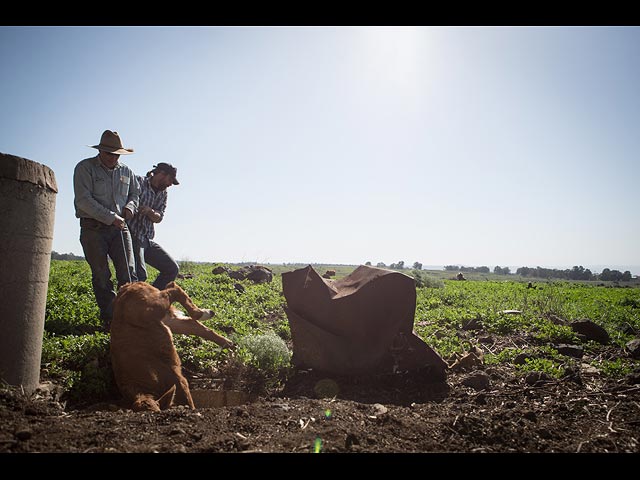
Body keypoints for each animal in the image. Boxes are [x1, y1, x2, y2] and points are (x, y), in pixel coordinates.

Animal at [110, 282, 232, 412]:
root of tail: (129, 286)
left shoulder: (176, 376)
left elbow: (188, 400)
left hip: (156, 305)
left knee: (173, 288)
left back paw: (201, 314)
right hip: (167, 321)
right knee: (195, 326)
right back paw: (229, 344)